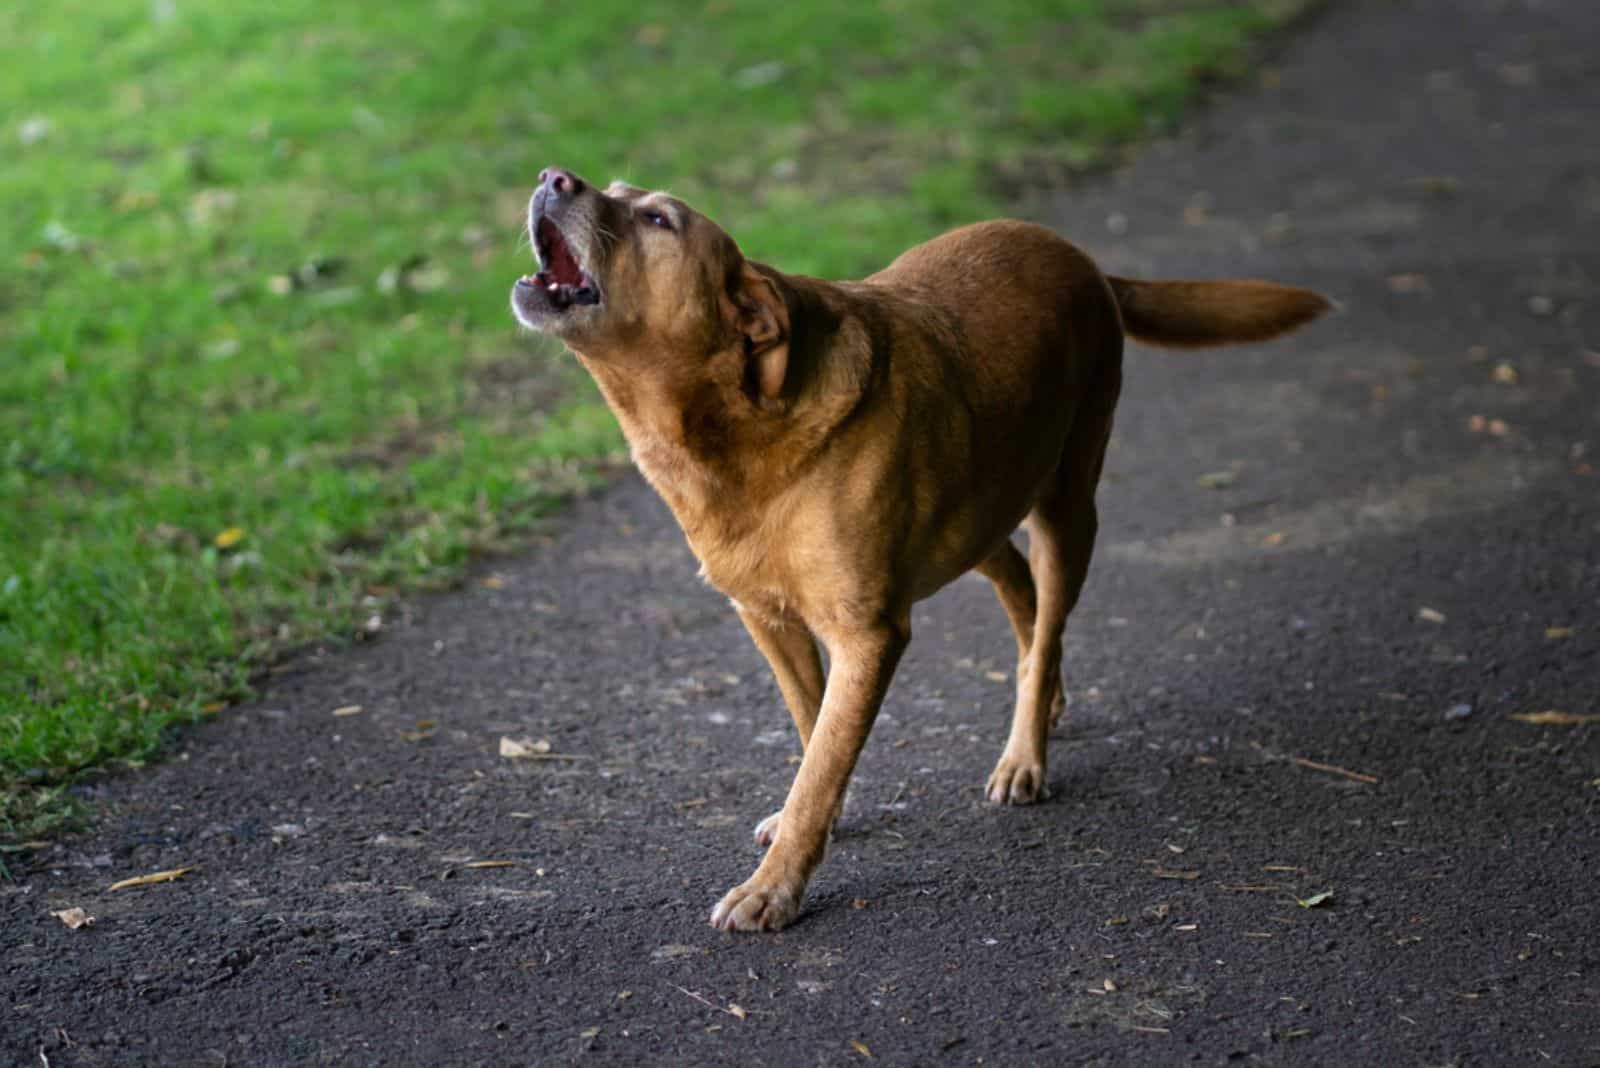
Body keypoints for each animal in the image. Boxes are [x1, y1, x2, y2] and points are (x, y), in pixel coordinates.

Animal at [508, 164, 1324, 927]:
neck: (734, 430)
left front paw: (775, 887)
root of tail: (1082, 258)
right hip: (975, 510)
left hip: (1066, 509)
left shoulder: (869, 633)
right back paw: (1048, 697)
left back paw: (1025, 753)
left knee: (1046, 619)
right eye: (613, 190)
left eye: (657, 220)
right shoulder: (770, 620)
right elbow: (815, 733)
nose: (553, 177)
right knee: (1023, 593)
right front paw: (816, 822)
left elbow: (822, 761)